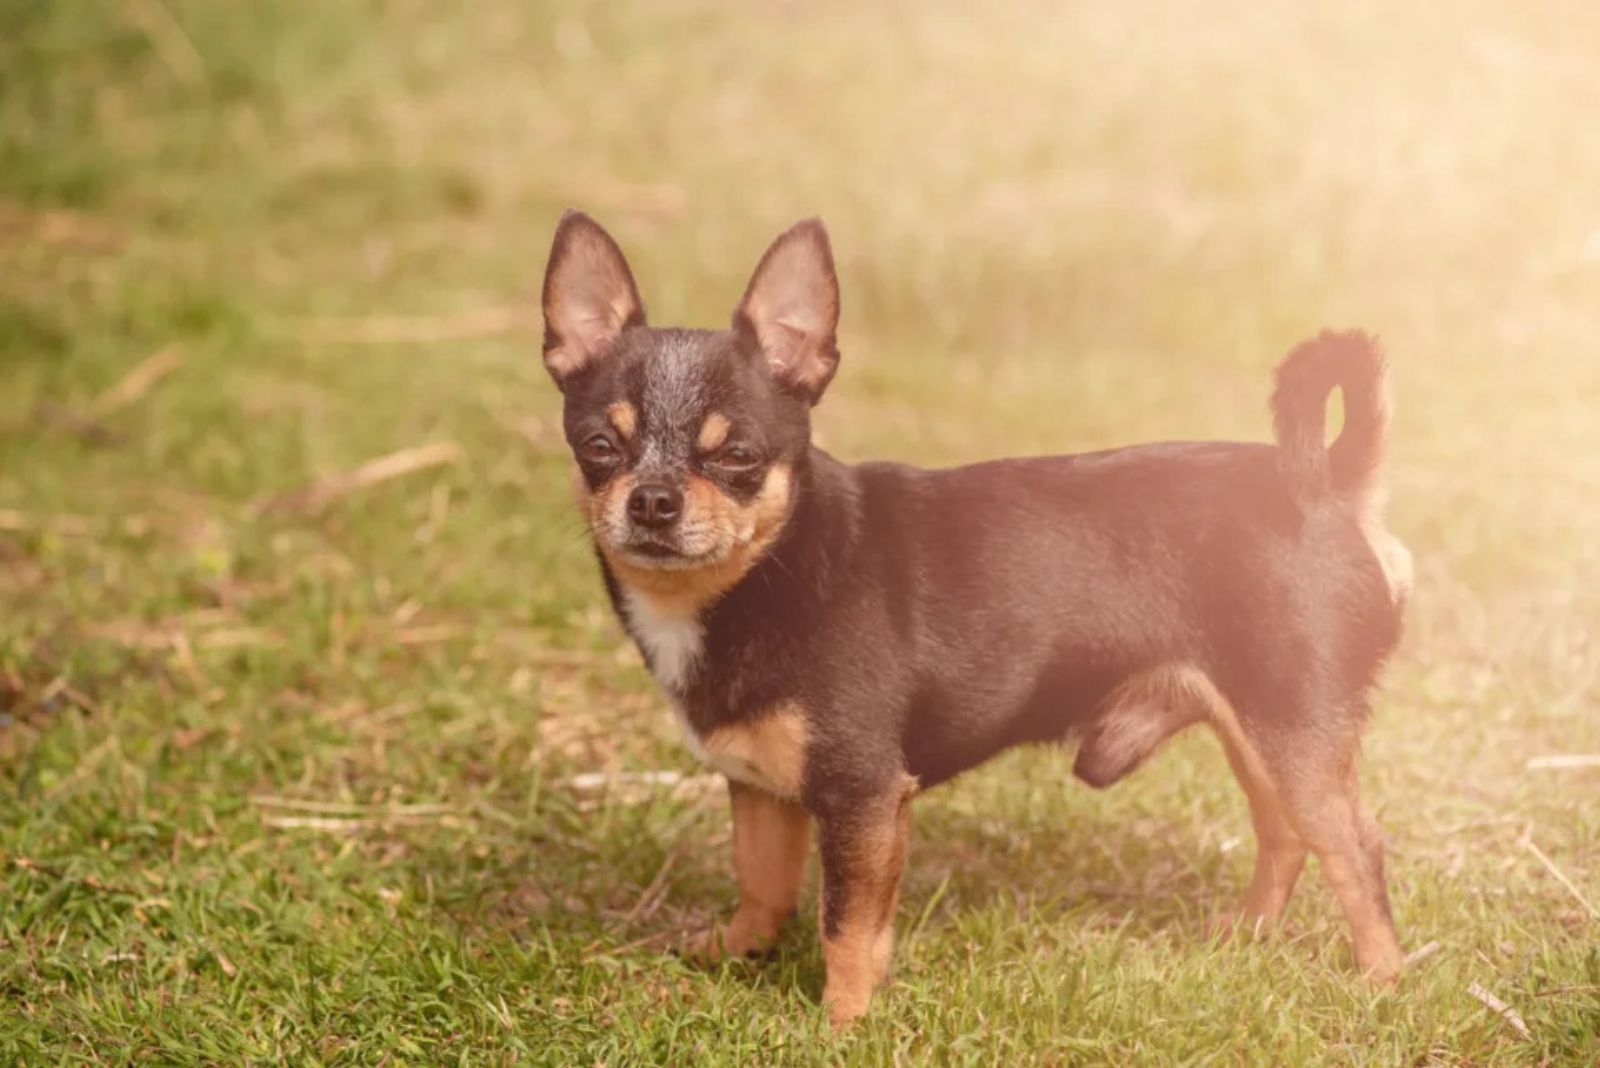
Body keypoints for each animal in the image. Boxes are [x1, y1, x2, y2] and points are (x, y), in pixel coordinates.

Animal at [540, 211, 1414, 1023]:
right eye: (598, 447)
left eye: (738, 458)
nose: (653, 501)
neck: (761, 575)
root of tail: (1331, 485)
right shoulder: (761, 789)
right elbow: (764, 884)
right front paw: (734, 954)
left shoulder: (861, 798)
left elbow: (846, 927)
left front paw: (842, 1024)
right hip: (1260, 734)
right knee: (1286, 836)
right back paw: (1246, 940)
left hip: (1293, 734)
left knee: (1355, 848)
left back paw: (1382, 982)